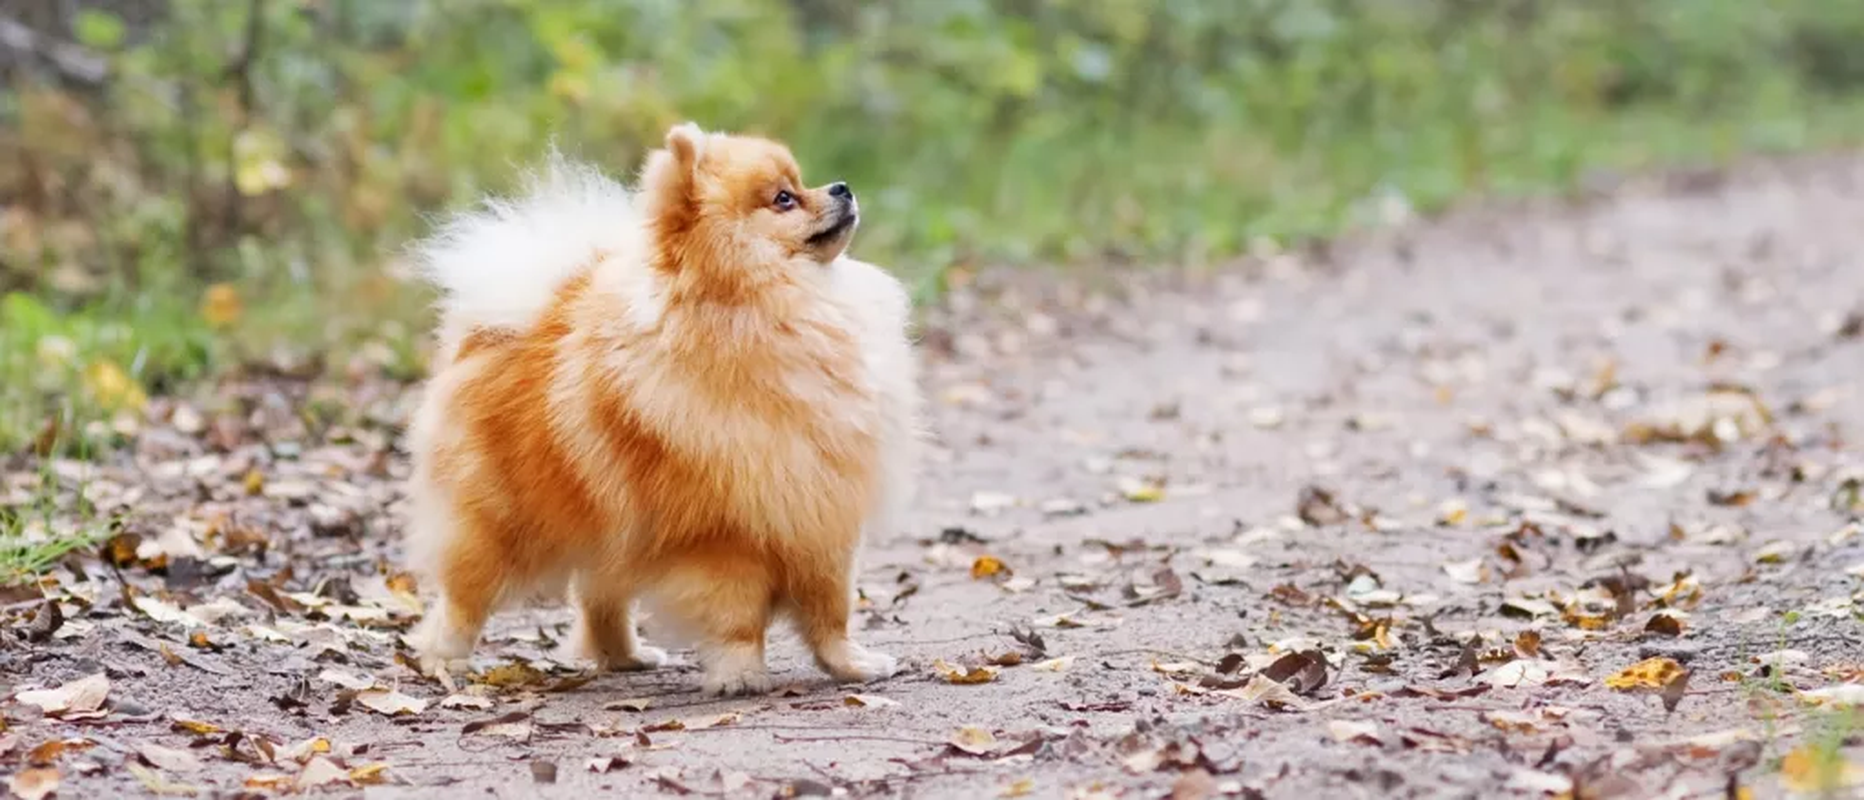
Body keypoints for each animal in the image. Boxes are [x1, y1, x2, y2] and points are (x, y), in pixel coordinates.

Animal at [400, 123, 917, 693]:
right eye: (784, 198)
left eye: (802, 183)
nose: (842, 187)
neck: (766, 311)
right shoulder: (726, 536)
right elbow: (739, 618)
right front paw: (742, 676)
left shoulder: (822, 517)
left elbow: (831, 613)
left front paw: (853, 665)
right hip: (498, 526)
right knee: (464, 597)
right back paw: (444, 659)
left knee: (598, 597)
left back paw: (625, 657)